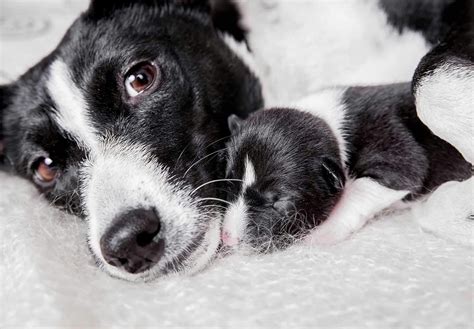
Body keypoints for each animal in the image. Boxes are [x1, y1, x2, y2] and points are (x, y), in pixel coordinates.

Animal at [221, 83, 470, 250]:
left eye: (278, 201)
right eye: (228, 185)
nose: (228, 238)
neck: (329, 126)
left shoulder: (399, 153)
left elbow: (359, 189)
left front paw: (325, 229)